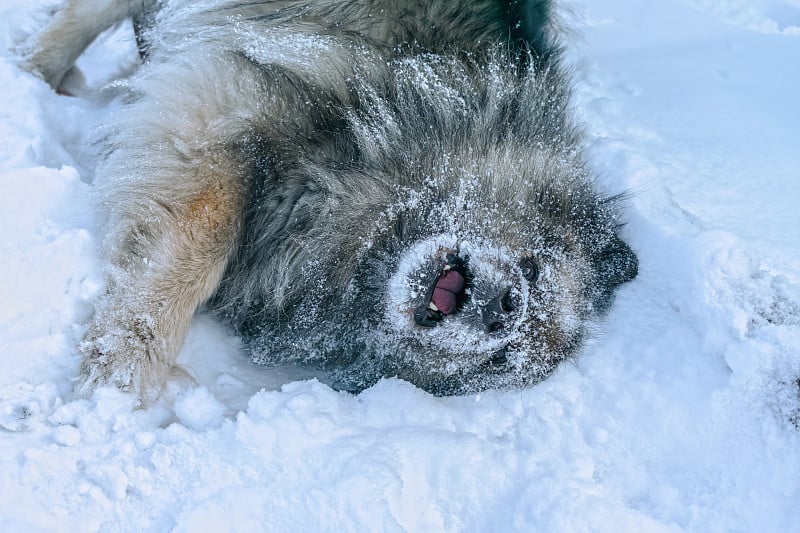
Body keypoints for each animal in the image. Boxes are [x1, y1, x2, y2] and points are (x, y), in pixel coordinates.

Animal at [21, 0, 640, 400]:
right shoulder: (233, 108)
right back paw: (29, 74)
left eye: (502, 357)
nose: (501, 310)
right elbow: (197, 250)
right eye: (533, 269)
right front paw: (118, 381)